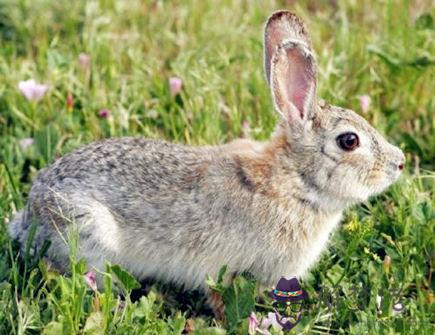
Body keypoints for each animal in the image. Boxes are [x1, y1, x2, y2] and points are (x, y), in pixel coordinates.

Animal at [9, 9, 406, 316]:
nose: (399, 163)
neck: (293, 182)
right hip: (88, 232)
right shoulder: (225, 268)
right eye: (349, 141)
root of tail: (30, 214)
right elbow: (220, 296)